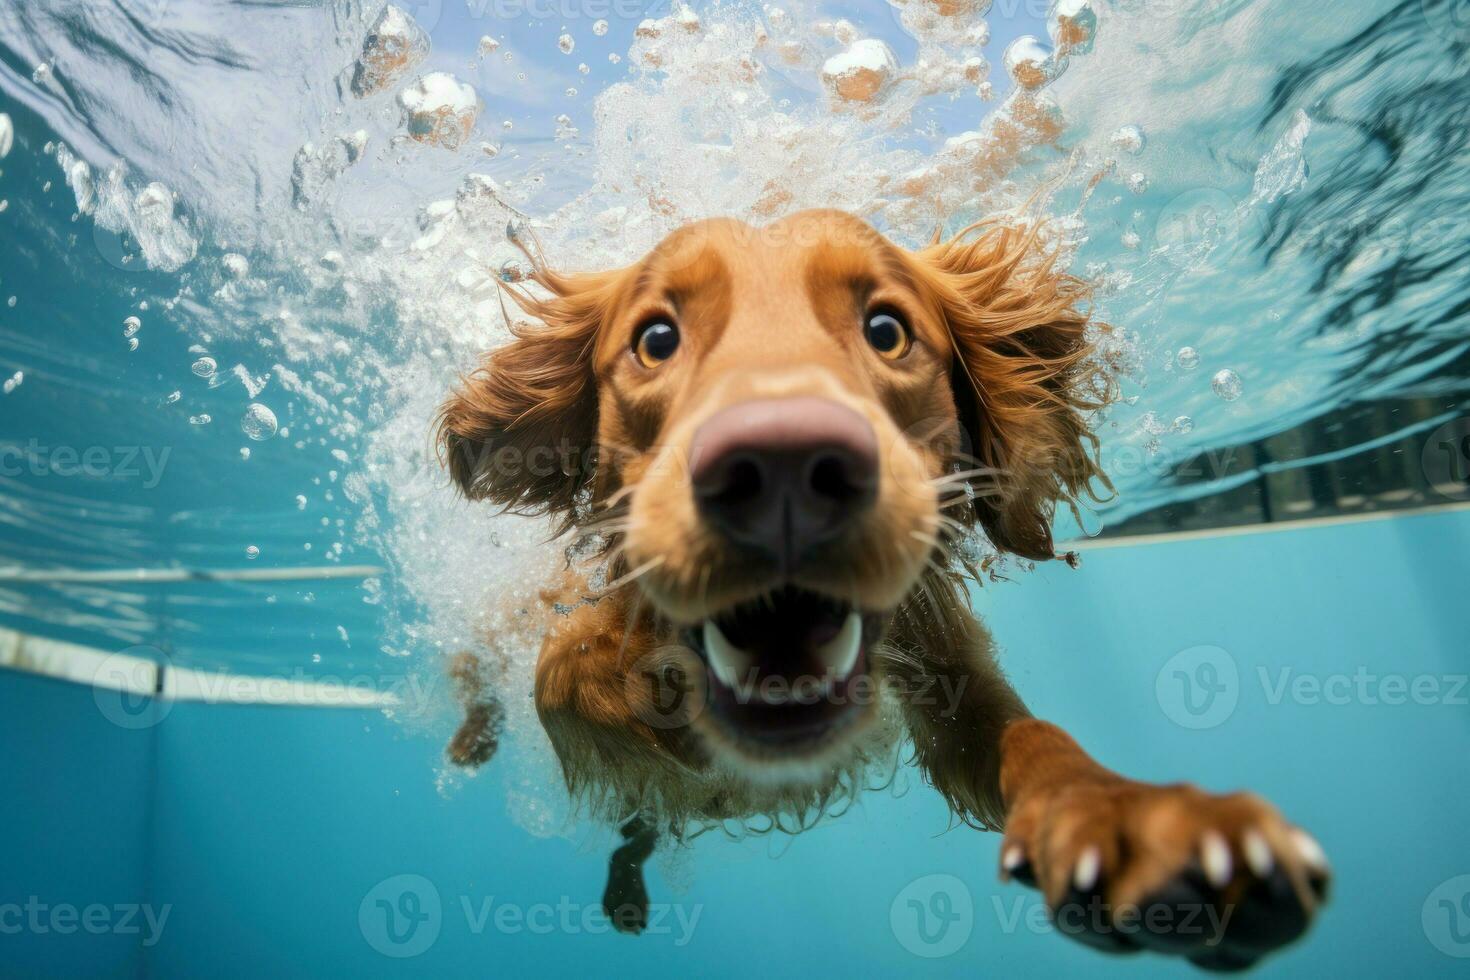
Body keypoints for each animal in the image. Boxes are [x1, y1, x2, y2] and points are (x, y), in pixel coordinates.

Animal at [429, 211, 1328, 969]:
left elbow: (1037, 746)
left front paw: (1131, 819)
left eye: (886, 330)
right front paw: (635, 691)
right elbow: (564, 669)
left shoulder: (953, 683)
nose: (784, 468)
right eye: (656, 339)